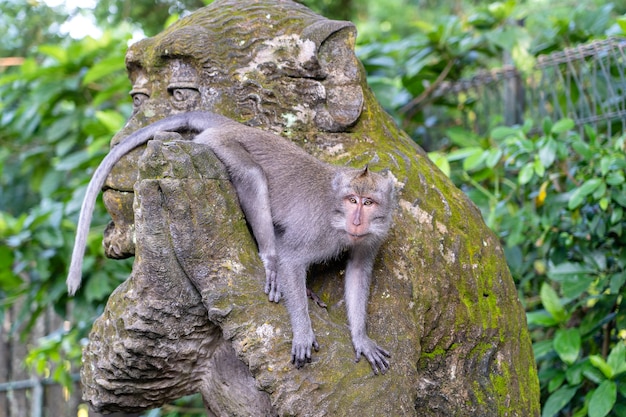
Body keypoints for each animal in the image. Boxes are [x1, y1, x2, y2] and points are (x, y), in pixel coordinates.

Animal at [66, 110, 392, 374]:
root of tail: (233, 125)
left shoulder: (371, 238)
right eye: (352, 200)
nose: (357, 221)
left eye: (369, 202)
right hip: (220, 146)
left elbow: (358, 272)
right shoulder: (319, 231)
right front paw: (302, 331)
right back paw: (270, 260)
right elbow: (291, 260)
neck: (339, 219)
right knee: (252, 175)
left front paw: (361, 338)